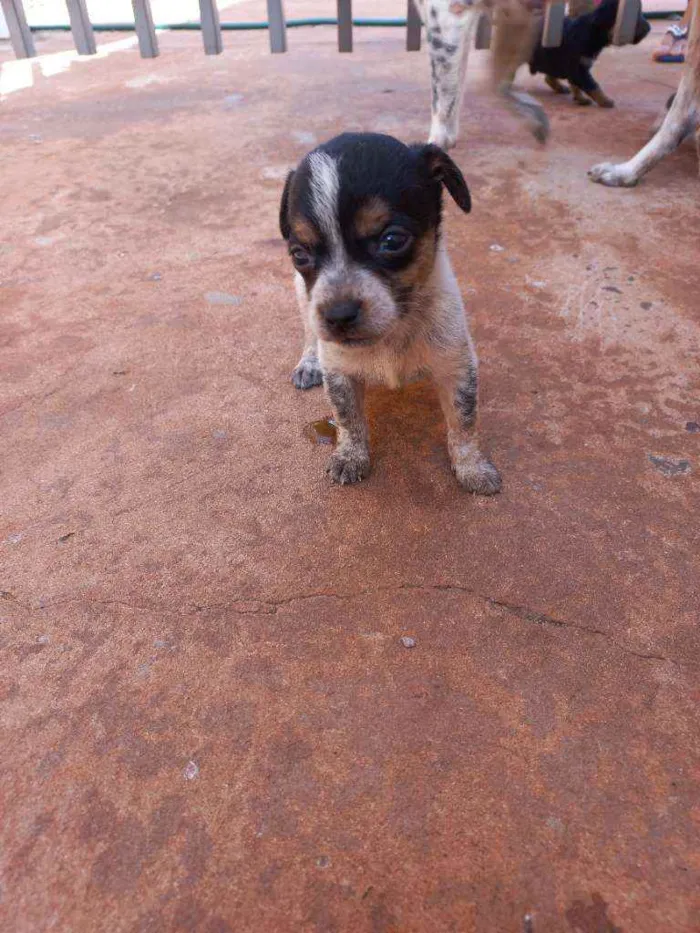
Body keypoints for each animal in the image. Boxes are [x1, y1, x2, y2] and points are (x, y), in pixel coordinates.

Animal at [282, 134, 500, 496]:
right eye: (299, 254)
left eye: (392, 240)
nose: (338, 315)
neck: (393, 330)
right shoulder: (339, 370)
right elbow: (348, 420)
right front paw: (351, 456)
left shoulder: (456, 366)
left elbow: (464, 422)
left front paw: (473, 467)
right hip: (302, 295)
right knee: (310, 334)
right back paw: (309, 362)